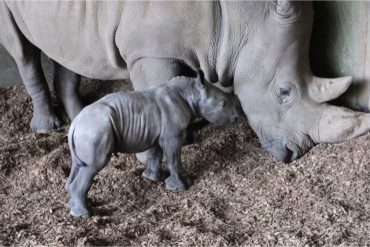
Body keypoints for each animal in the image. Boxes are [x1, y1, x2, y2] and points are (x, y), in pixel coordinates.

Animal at [1, 0, 368, 163]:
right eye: (284, 92)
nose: (295, 153)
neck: (243, 15)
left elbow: (184, 85)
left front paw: (187, 135)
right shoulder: (149, 51)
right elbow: (156, 91)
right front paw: (158, 157)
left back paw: (79, 118)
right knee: (22, 50)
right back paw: (47, 127)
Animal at [66, 70, 240, 217]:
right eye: (223, 103)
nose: (236, 117)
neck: (192, 93)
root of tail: (75, 124)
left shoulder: (156, 133)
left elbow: (155, 154)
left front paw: (151, 178)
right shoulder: (172, 135)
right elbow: (174, 159)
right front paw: (180, 187)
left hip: (87, 132)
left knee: (79, 165)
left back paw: (76, 206)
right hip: (94, 131)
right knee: (93, 166)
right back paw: (84, 215)